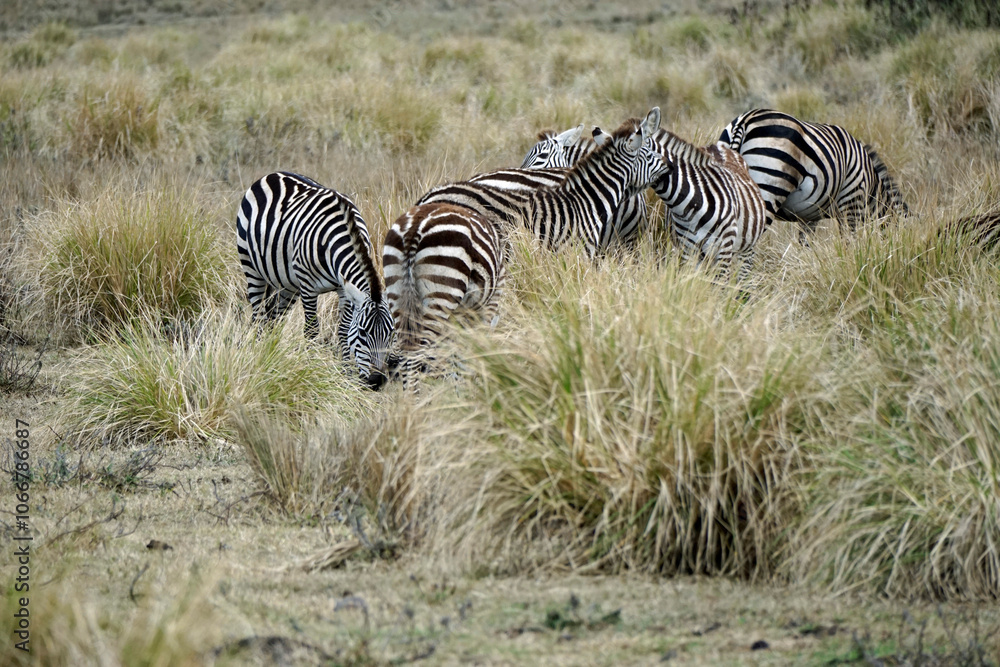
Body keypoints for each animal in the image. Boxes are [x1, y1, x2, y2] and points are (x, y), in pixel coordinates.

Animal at [236, 171, 394, 389]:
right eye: (363, 333)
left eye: (391, 333)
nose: (377, 381)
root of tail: (273, 174)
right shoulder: (308, 287)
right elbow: (311, 331)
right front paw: (311, 370)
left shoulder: (344, 288)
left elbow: (343, 330)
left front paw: (346, 373)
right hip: (252, 268)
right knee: (259, 317)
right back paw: (258, 356)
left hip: (288, 286)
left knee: (275, 320)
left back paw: (271, 354)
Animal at [382, 202, 506, 388]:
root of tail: (415, 226)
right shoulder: (489, 303)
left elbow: (455, 355)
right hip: (442, 290)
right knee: (417, 353)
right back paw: (415, 396)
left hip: (397, 292)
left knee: (405, 351)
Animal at [717, 109, 909, 240]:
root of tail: (745, 120)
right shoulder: (850, 203)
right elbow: (849, 243)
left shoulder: (809, 216)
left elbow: (806, 245)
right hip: (768, 186)